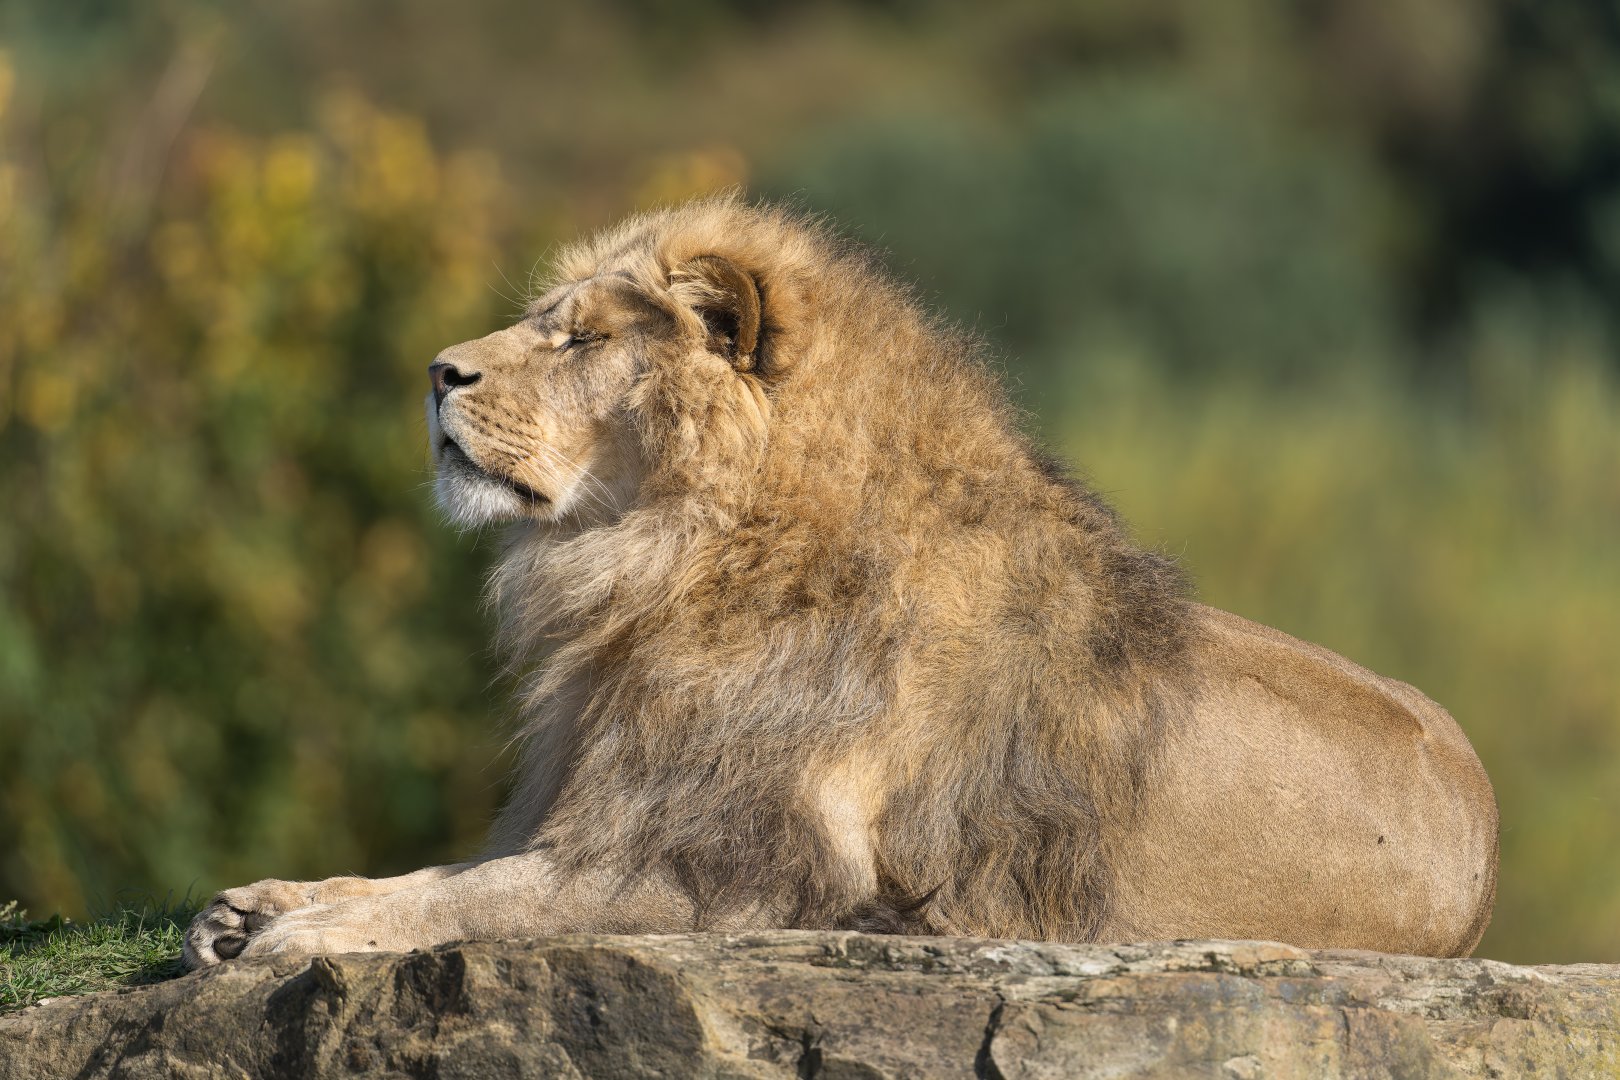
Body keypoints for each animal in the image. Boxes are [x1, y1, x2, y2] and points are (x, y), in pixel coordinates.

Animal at [185, 197, 1497, 968]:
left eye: (586, 339)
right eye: (542, 324)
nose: (435, 372)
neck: (662, 567)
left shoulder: (737, 872)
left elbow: (473, 899)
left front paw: (309, 932)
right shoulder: (611, 805)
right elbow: (449, 869)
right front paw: (267, 900)